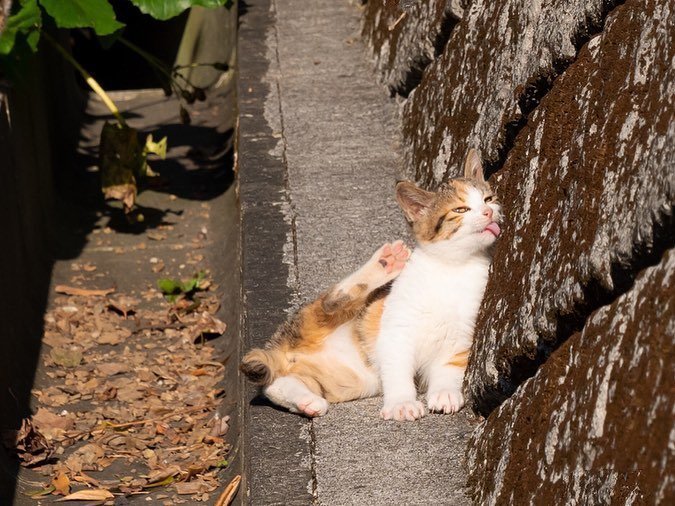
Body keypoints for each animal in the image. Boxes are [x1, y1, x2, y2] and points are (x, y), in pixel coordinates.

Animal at [239, 148, 502, 422]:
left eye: (489, 198)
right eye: (461, 209)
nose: (489, 212)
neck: (452, 268)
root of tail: (281, 349)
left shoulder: (461, 336)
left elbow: (449, 368)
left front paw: (445, 394)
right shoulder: (397, 328)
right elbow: (397, 367)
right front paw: (402, 403)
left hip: (345, 380)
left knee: (276, 384)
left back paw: (307, 401)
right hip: (324, 317)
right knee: (330, 303)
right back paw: (385, 263)